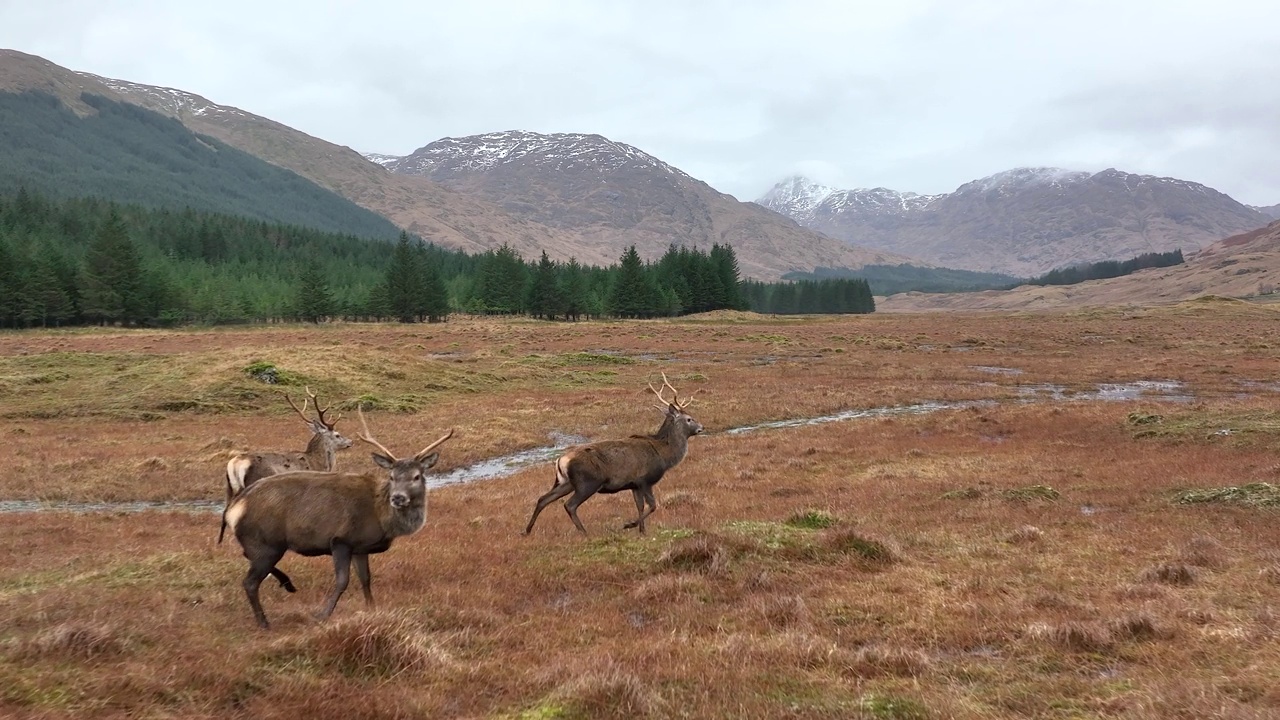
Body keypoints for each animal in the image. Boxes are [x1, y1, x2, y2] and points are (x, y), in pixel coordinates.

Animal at [216, 389, 350, 591]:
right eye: (337, 434)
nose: (350, 441)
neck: (318, 463)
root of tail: (236, 463)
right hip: (252, 485)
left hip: (230, 488)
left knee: (225, 514)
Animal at [222, 407, 453, 625]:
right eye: (392, 476)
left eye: (417, 476)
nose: (398, 498)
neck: (382, 518)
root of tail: (235, 508)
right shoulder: (341, 539)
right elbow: (342, 581)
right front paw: (322, 614)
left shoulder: (361, 546)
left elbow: (366, 579)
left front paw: (372, 608)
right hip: (267, 542)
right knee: (250, 582)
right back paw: (264, 621)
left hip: (261, 543)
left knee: (247, 559)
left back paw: (286, 585)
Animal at [519, 371, 706, 535]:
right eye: (689, 419)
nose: (701, 427)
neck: (664, 455)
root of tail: (561, 460)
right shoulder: (645, 480)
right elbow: (653, 506)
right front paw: (629, 525)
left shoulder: (634, 484)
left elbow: (640, 506)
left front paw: (642, 531)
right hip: (587, 482)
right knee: (569, 505)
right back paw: (584, 532)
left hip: (566, 482)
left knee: (543, 499)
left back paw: (527, 530)